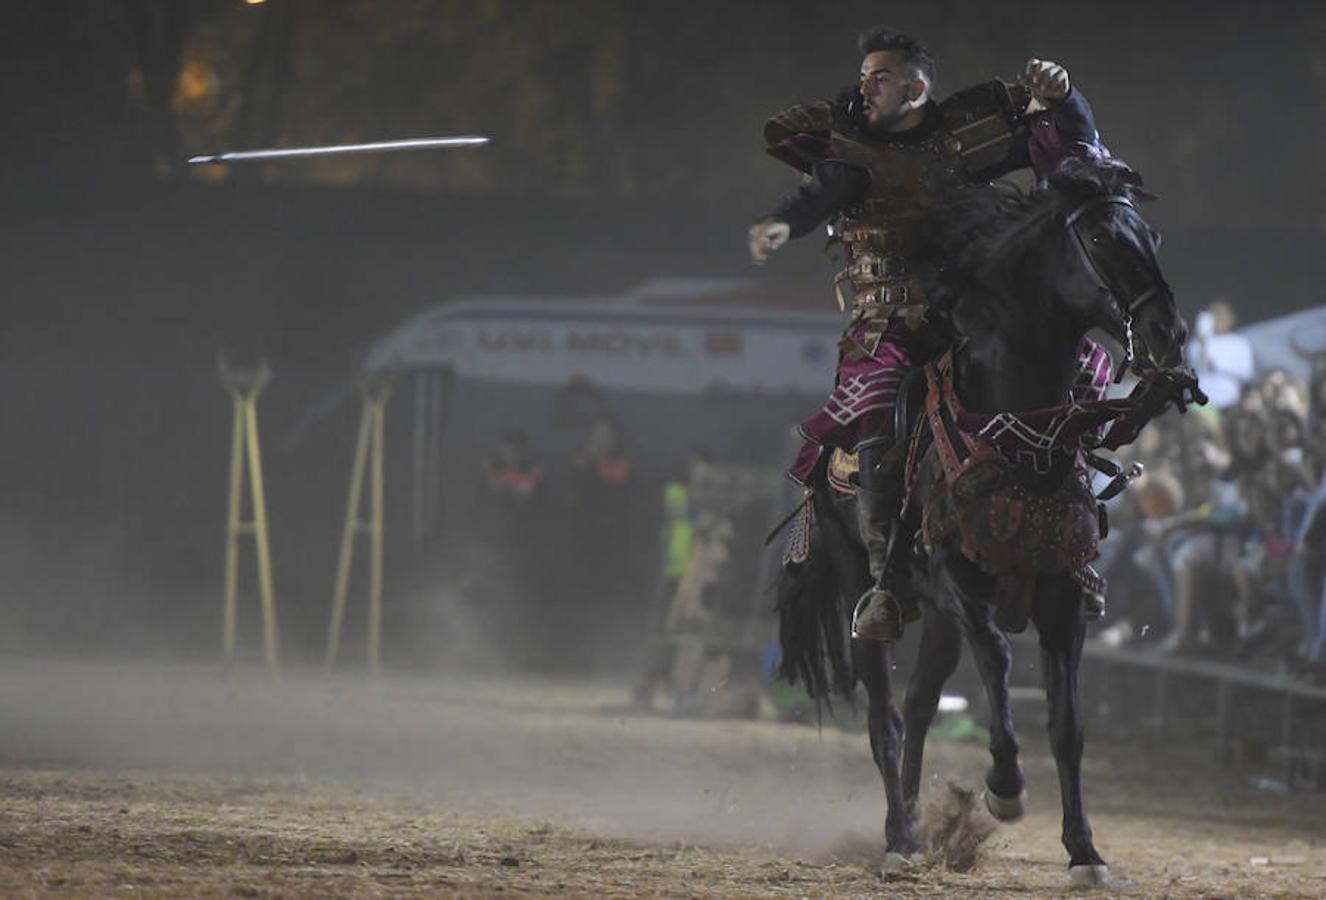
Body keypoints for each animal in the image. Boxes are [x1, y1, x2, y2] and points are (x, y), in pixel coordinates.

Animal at [774, 160, 1204, 885]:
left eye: (1152, 236)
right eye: (1098, 236)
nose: (1165, 335)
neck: (1019, 432)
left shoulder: (1063, 598)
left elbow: (1068, 724)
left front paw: (1084, 851)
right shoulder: (960, 582)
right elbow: (1001, 661)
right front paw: (1004, 788)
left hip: (941, 623)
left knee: (921, 704)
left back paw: (916, 826)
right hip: (873, 593)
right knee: (886, 715)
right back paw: (898, 835)